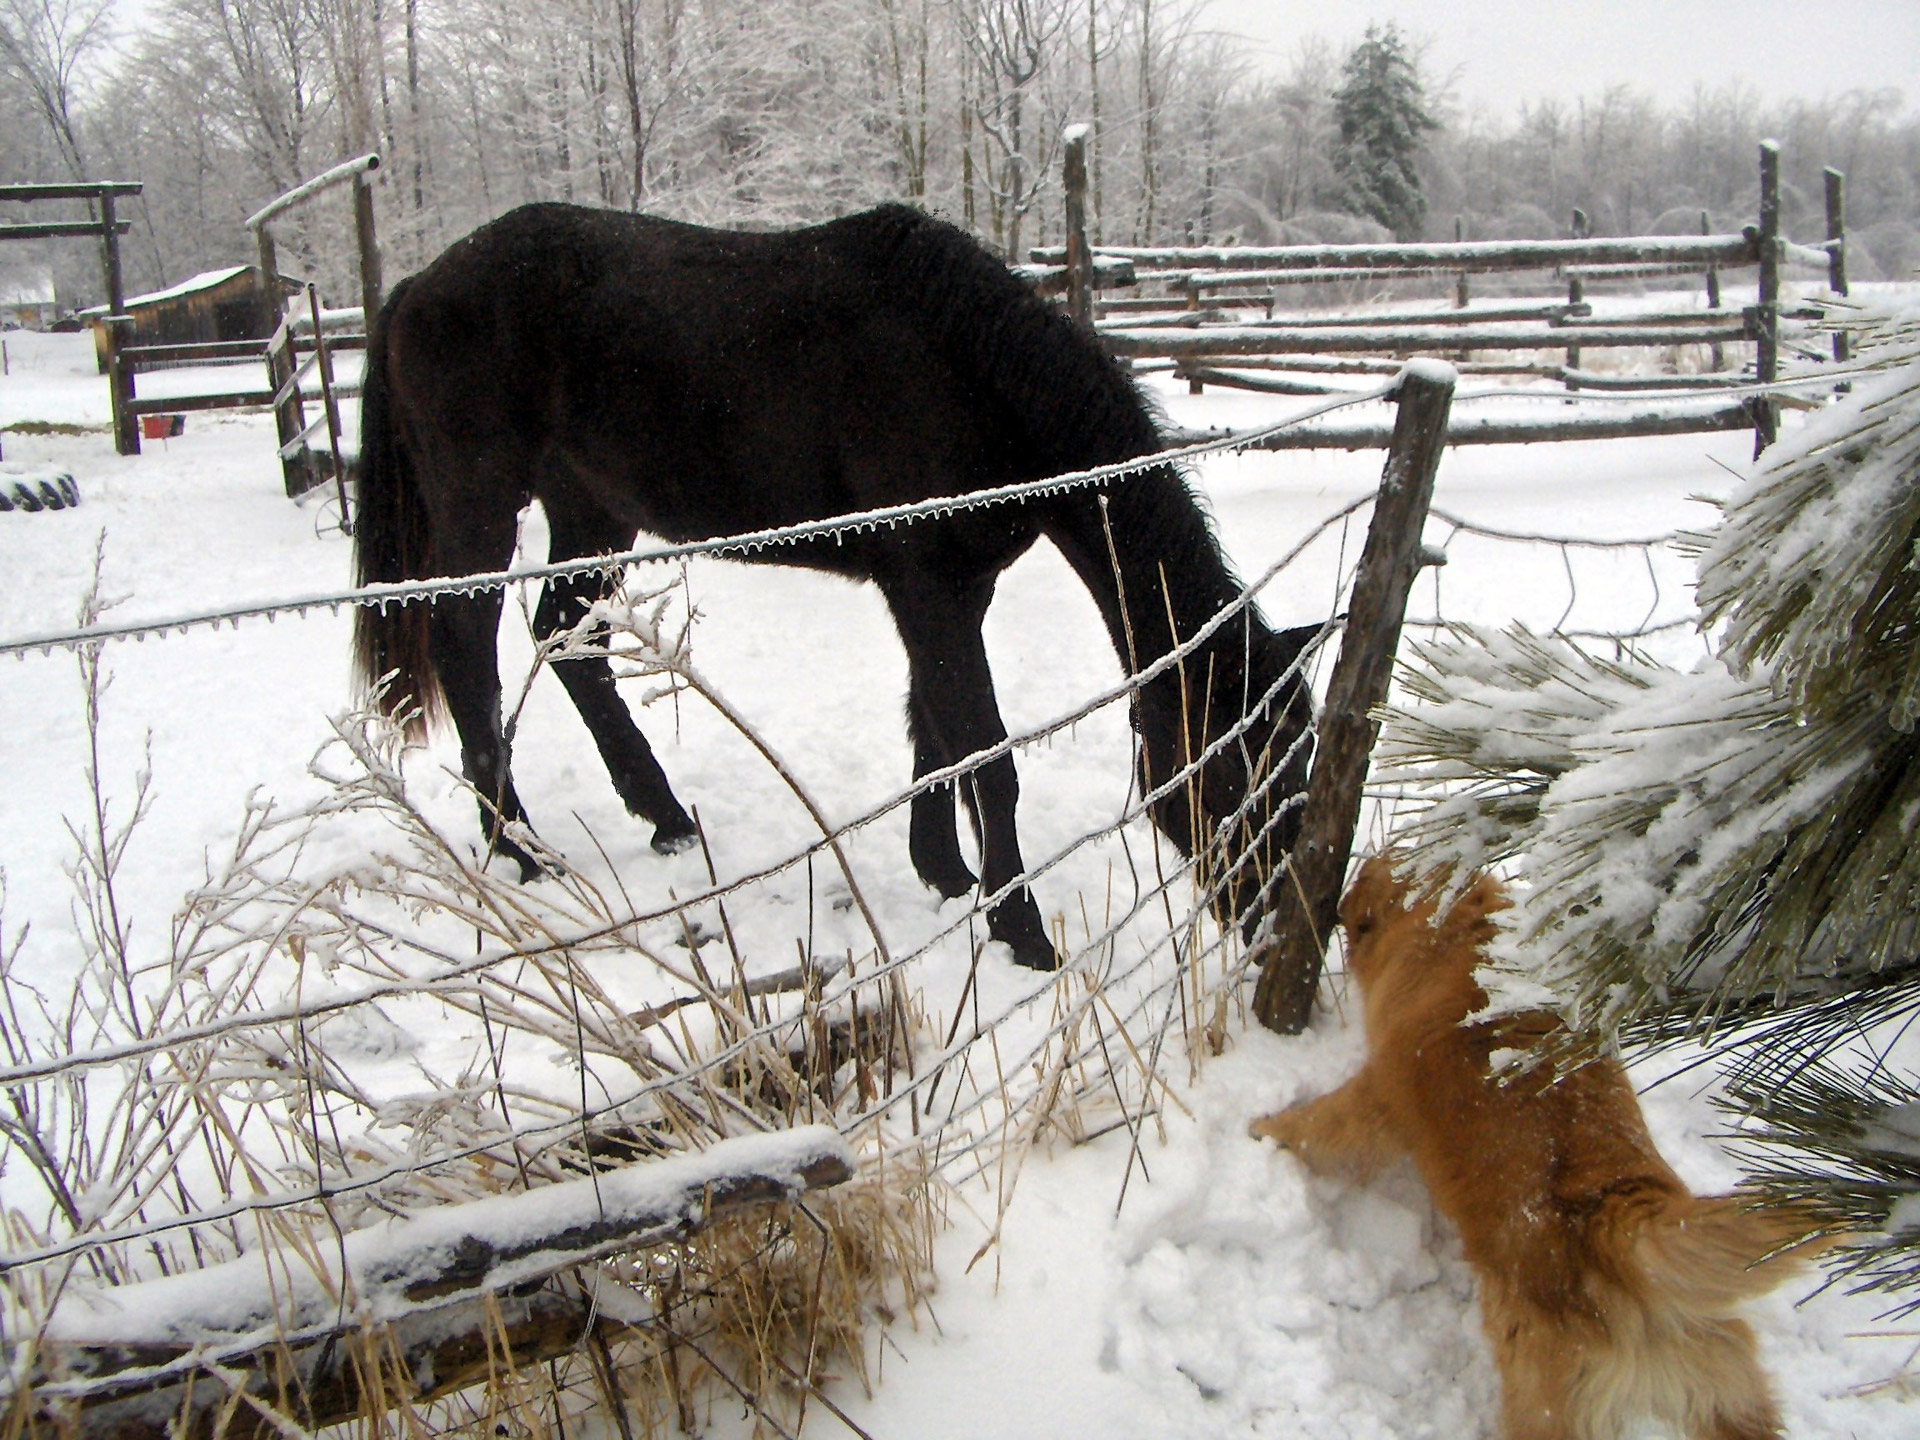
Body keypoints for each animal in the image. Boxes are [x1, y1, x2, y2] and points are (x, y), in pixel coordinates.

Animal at [349, 203, 1320, 971]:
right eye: (1227, 769)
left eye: (1299, 752)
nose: (1274, 917)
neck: (968, 372)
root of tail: (416, 286)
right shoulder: (929, 588)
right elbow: (985, 756)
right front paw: (1022, 932)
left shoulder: (955, 591)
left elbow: (934, 732)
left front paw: (945, 873)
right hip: (482, 504)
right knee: (466, 651)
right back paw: (517, 847)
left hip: (591, 510)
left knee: (568, 642)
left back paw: (662, 816)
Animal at [1251, 864, 1820, 1436]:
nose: (1338, 907)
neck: (1457, 936)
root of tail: (1611, 1222)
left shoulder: (1378, 1102)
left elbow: (1320, 1124)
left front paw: (1264, 1128)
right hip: (1724, 1388)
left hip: (1542, 1398)